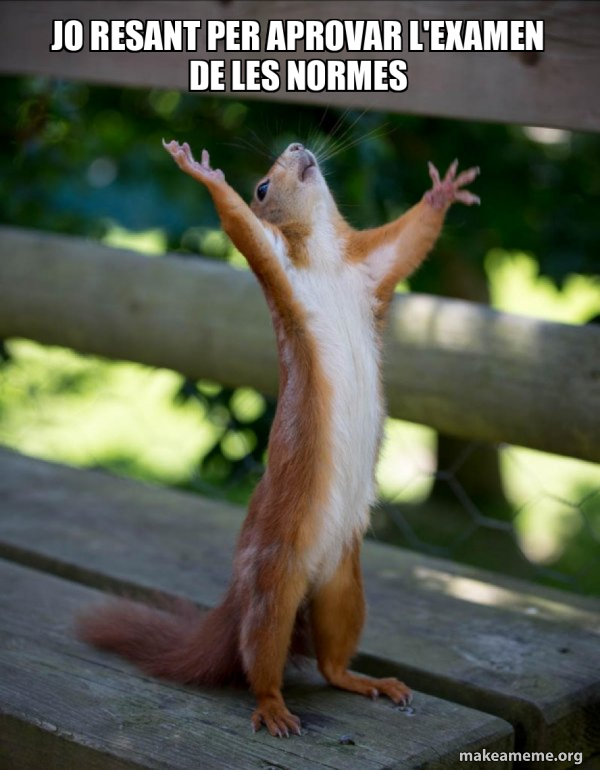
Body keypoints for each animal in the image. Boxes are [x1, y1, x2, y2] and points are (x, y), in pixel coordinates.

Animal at [77, 138, 479, 738]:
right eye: (262, 187)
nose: (296, 147)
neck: (327, 257)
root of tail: (239, 595)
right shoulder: (277, 266)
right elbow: (240, 226)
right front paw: (204, 174)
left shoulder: (372, 267)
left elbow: (409, 240)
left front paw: (443, 192)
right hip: (274, 584)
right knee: (260, 658)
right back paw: (273, 708)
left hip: (344, 586)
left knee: (332, 661)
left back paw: (368, 681)